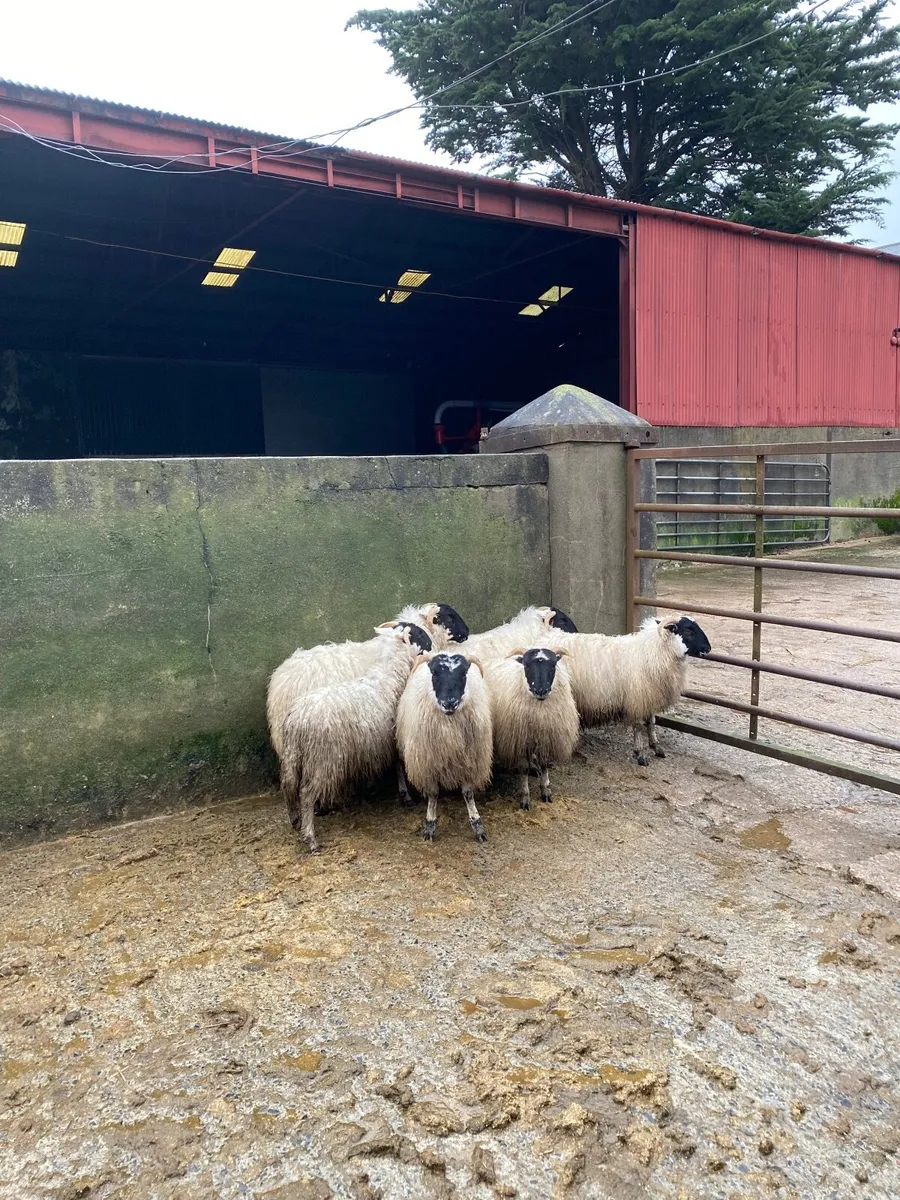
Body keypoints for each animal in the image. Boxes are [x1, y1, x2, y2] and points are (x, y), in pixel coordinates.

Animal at [280, 622, 430, 853]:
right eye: (417, 634)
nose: (430, 647)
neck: (390, 676)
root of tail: (298, 718)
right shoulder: (394, 737)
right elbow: (398, 766)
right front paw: (405, 795)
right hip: (323, 760)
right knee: (306, 794)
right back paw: (311, 838)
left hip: (292, 754)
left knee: (288, 785)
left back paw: (295, 820)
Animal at [396, 651, 493, 843]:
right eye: (434, 674)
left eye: (463, 674)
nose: (449, 703)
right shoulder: (428, 763)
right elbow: (433, 793)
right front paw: (429, 825)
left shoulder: (470, 761)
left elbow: (468, 793)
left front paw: (477, 825)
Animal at [484, 647, 579, 811]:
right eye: (526, 666)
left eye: (553, 665)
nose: (541, 691)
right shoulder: (520, 742)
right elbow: (523, 770)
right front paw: (525, 799)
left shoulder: (546, 739)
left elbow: (545, 764)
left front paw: (546, 791)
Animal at [542, 615, 711, 765]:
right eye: (688, 631)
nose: (708, 648)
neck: (653, 651)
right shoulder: (637, 698)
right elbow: (638, 727)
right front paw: (640, 754)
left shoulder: (648, 696)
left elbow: (651, 723)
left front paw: (656, 747)